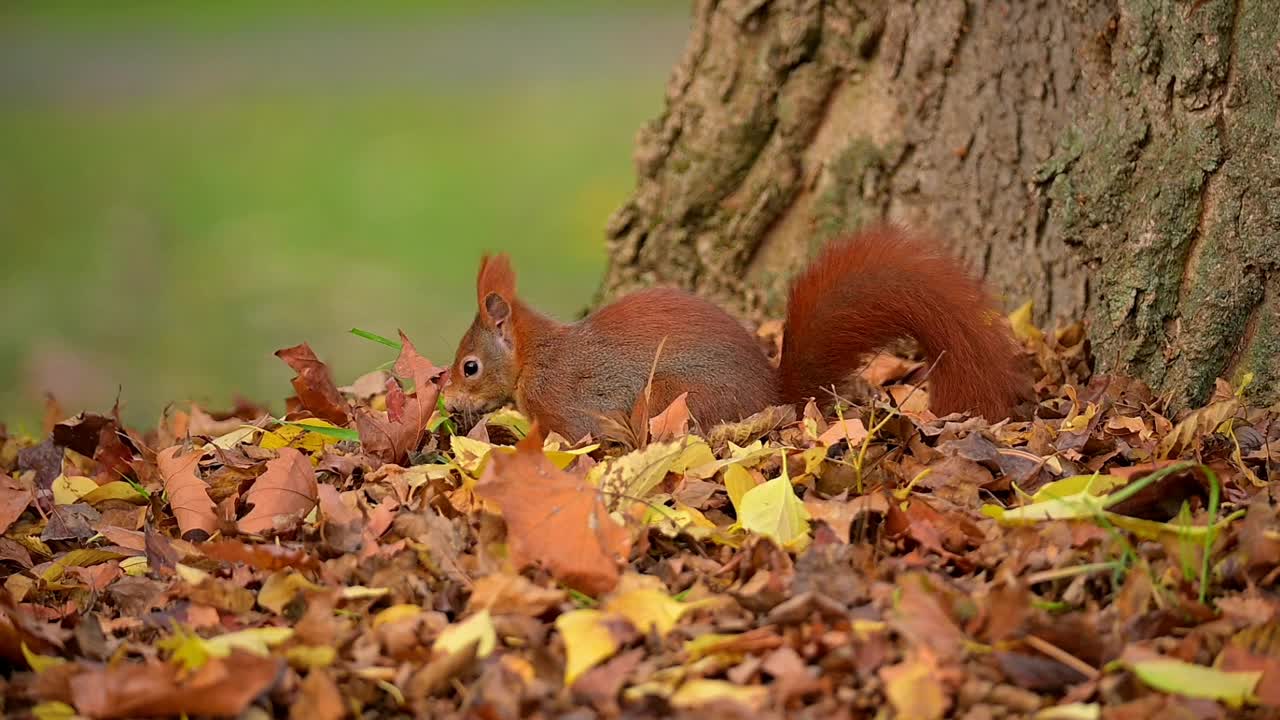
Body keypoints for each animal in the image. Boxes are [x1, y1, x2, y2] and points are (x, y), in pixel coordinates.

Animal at [445, 222, 1024, 438]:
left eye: (469, 367)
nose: (445, 397)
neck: (534, 357)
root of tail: (776, 393)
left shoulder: (570, 405)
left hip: (671, 397)